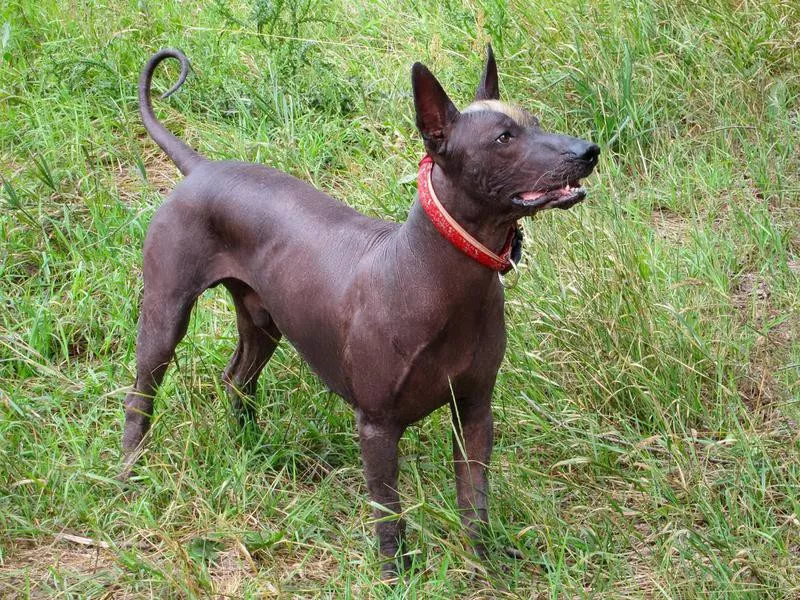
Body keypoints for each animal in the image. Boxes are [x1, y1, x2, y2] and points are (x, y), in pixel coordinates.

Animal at [123, 44, 600, 580]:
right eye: (504, 138)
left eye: (535, 122)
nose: (588, 151)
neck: (438, 276)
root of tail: (202, 168)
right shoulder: (376, 425)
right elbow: (388, 510)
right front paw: (396, 575)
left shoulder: (475, 410)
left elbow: (474, 498)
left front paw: (484, 559)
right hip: (165, 315)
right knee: (140, 395)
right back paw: (129, 473)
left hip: (263, 321)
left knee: (237, 378)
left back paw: (250, 448)